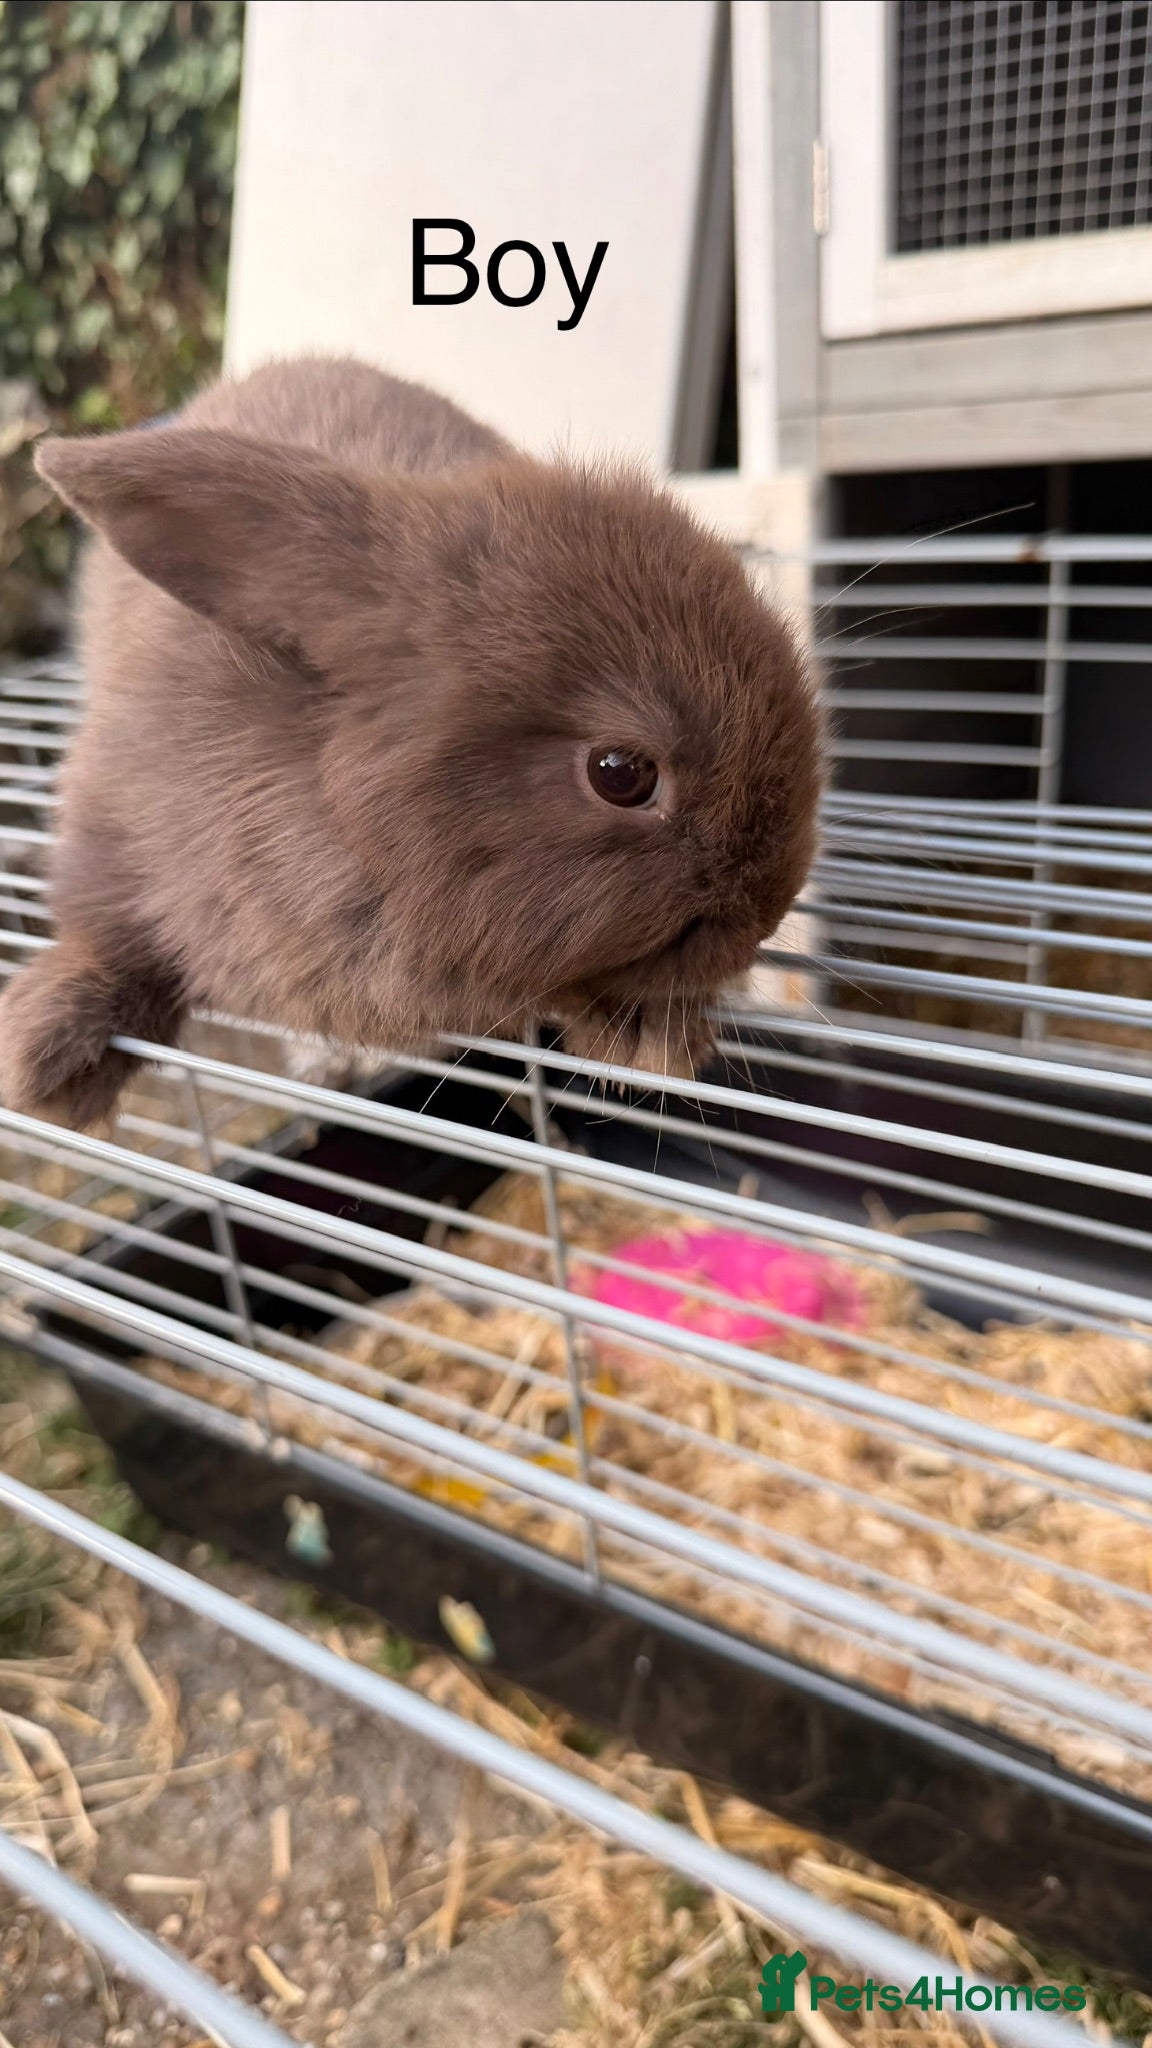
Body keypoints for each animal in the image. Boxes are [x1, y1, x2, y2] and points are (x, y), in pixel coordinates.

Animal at [0, 356, 822, 1130]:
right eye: (620, 773)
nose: (765, 914)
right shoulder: (113, 832)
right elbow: (108, 936)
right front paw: (46, 1067)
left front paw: (657, 1043)